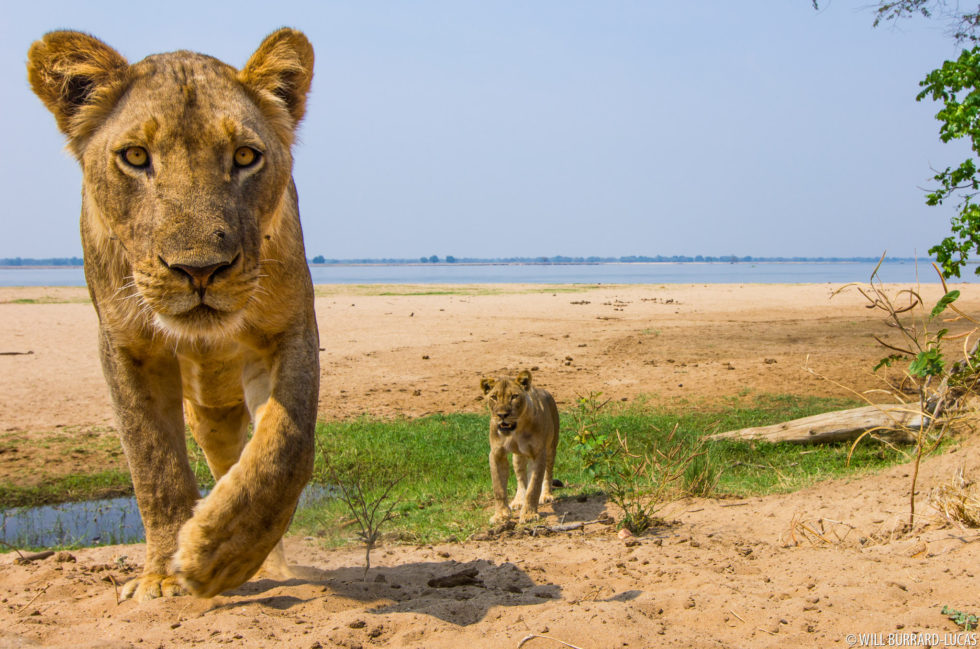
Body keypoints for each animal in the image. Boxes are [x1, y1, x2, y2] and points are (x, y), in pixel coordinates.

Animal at [27, 27, 318, 600]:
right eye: (136, 156)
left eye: (245, 156)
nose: (199, 270)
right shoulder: (127, 346)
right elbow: (153, 462)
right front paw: (163, 576)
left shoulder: (289, 329)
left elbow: (283, 447)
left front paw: (219, 555)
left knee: (237, 463)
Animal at [480, 368, 560, 524]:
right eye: (494, 397)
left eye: (514, 396)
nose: (502, 415)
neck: (516, 431)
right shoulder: (496, 454)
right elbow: (499, 488)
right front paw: (501, 515)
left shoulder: (538, 453)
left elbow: (533, 487)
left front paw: (529, 514)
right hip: (518, 457)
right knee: (521, 478)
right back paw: (518, 501)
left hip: (551, 448)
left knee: (548, 472)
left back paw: (546, 495)